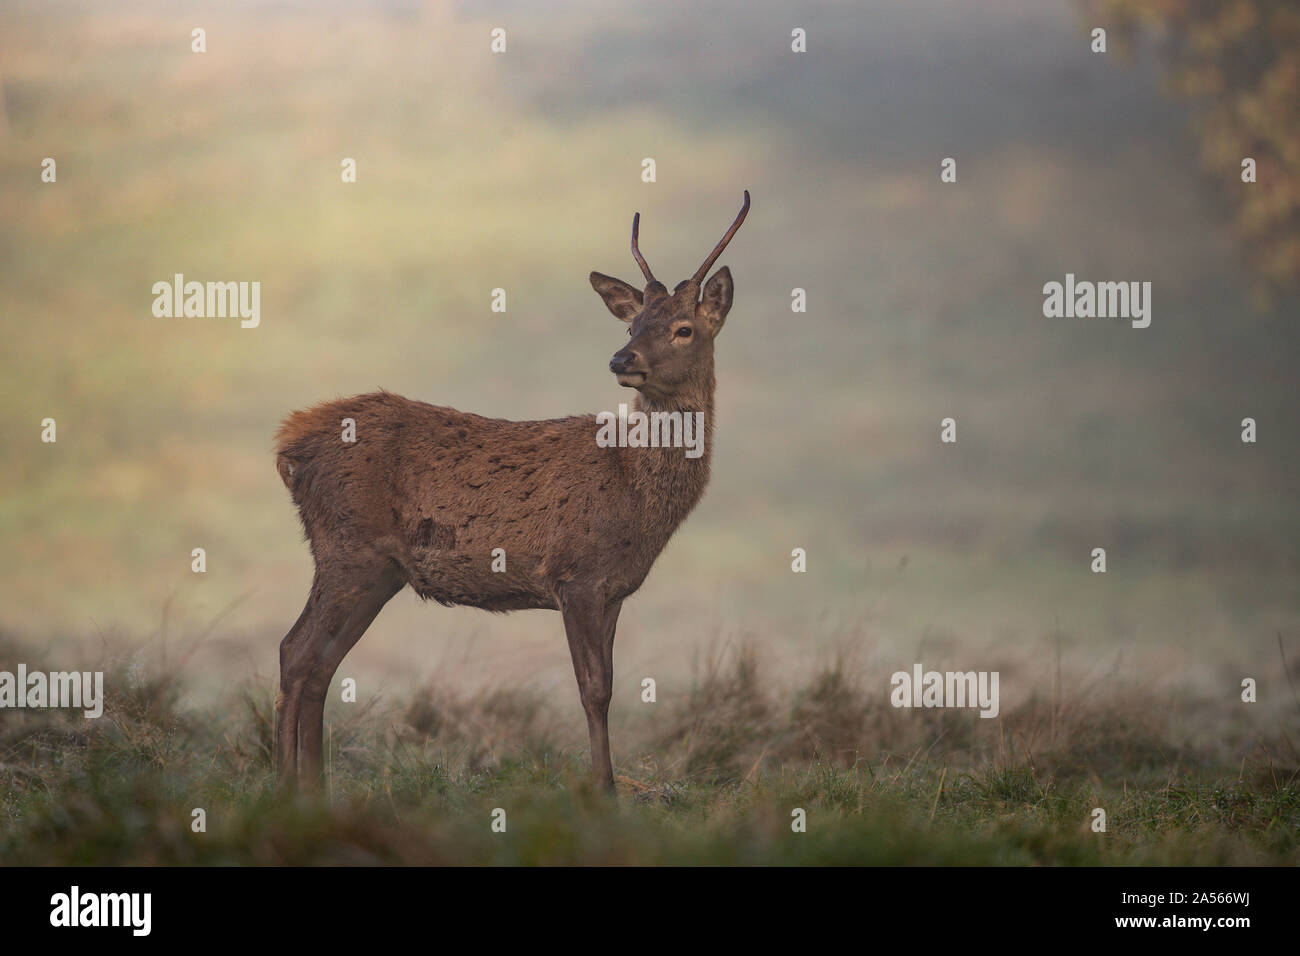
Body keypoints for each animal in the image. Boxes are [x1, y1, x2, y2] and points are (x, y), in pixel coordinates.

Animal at [273, 191, 750, 792]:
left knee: (321, 663)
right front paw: (604, 791)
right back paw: (284, 789)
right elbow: (594, 690)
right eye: (632, 326)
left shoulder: (615, 589)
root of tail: (288, 445)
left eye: (684, 328)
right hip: (346, 546)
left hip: (378, 569)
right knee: (295, 652)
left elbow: (607, 685)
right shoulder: (575, 573)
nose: (622, 360)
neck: (635, 492)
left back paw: (313, 791)